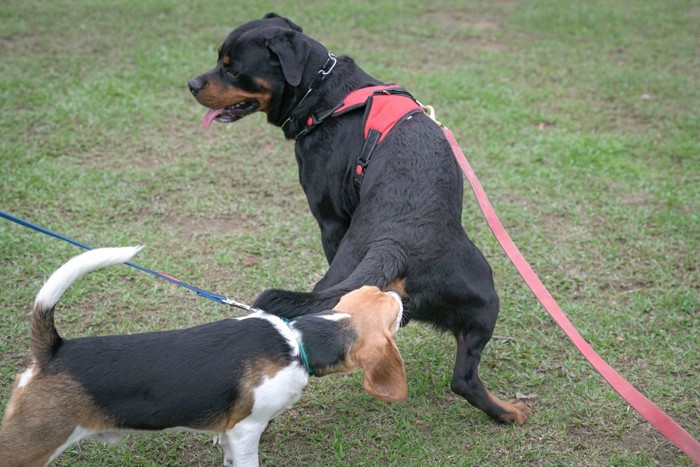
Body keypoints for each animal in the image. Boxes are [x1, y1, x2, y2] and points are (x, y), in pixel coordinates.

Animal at [0, 247, 408, 466]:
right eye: (391, 311)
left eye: (374, 292)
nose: (400, 293)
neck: (297, 342)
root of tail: (55, 349)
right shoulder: (247, 430)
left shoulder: (230, 431)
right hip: (31, 444)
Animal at [190, 12, 532, 426]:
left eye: (231, 68)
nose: (192, 84)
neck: (324, 94)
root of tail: (393, 245)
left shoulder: (330, 222)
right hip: (482, 294)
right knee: (463, 378)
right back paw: (509, 412)